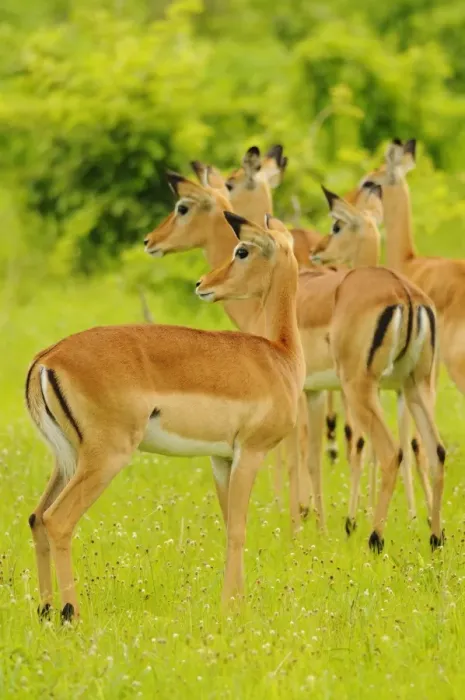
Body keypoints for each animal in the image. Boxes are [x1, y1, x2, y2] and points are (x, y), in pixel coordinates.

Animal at [26, 209, 305, 621]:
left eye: (242, 250)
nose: (203, 284)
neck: (280, 357)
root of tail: (47, 358)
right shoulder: (250, 453)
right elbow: (238, 529)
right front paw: (230, 608)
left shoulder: (221, 458)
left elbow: (229, 526)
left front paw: (234, 604)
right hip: (106, 457)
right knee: (57, 520)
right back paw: (70, 613)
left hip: (68, 458)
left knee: (36, 516)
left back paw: (46, 610)